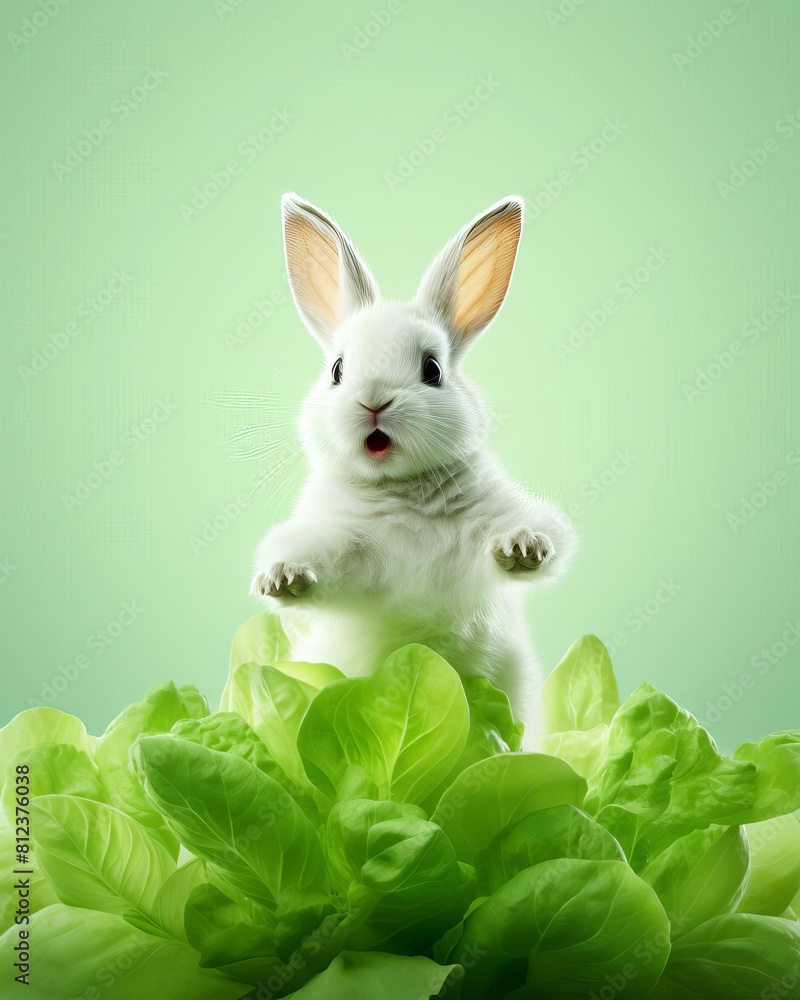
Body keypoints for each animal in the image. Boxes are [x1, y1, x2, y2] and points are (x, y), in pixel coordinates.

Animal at [250, 193, 577, 745]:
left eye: (433, 369)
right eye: (337, 370)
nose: (374, 400)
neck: (402, 492)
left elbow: (531, 538)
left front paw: (522, 549)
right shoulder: (349, 550)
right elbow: (325, 566)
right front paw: (284, 579)